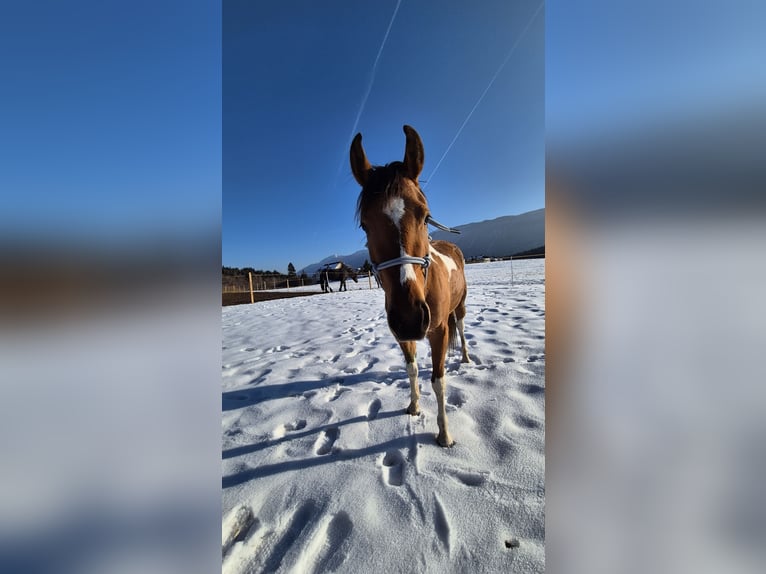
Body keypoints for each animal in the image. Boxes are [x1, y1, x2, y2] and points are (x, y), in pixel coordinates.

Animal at [350, 125, 470, 447]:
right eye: (365, 225)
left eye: (425, 216)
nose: (409, 317)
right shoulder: (401, 335)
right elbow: (412, 369)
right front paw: (414, 406)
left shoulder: (438, 331)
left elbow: (439, 381)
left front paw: (445, 435)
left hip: (461, 307)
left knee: (461, 329)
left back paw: (466, 357)